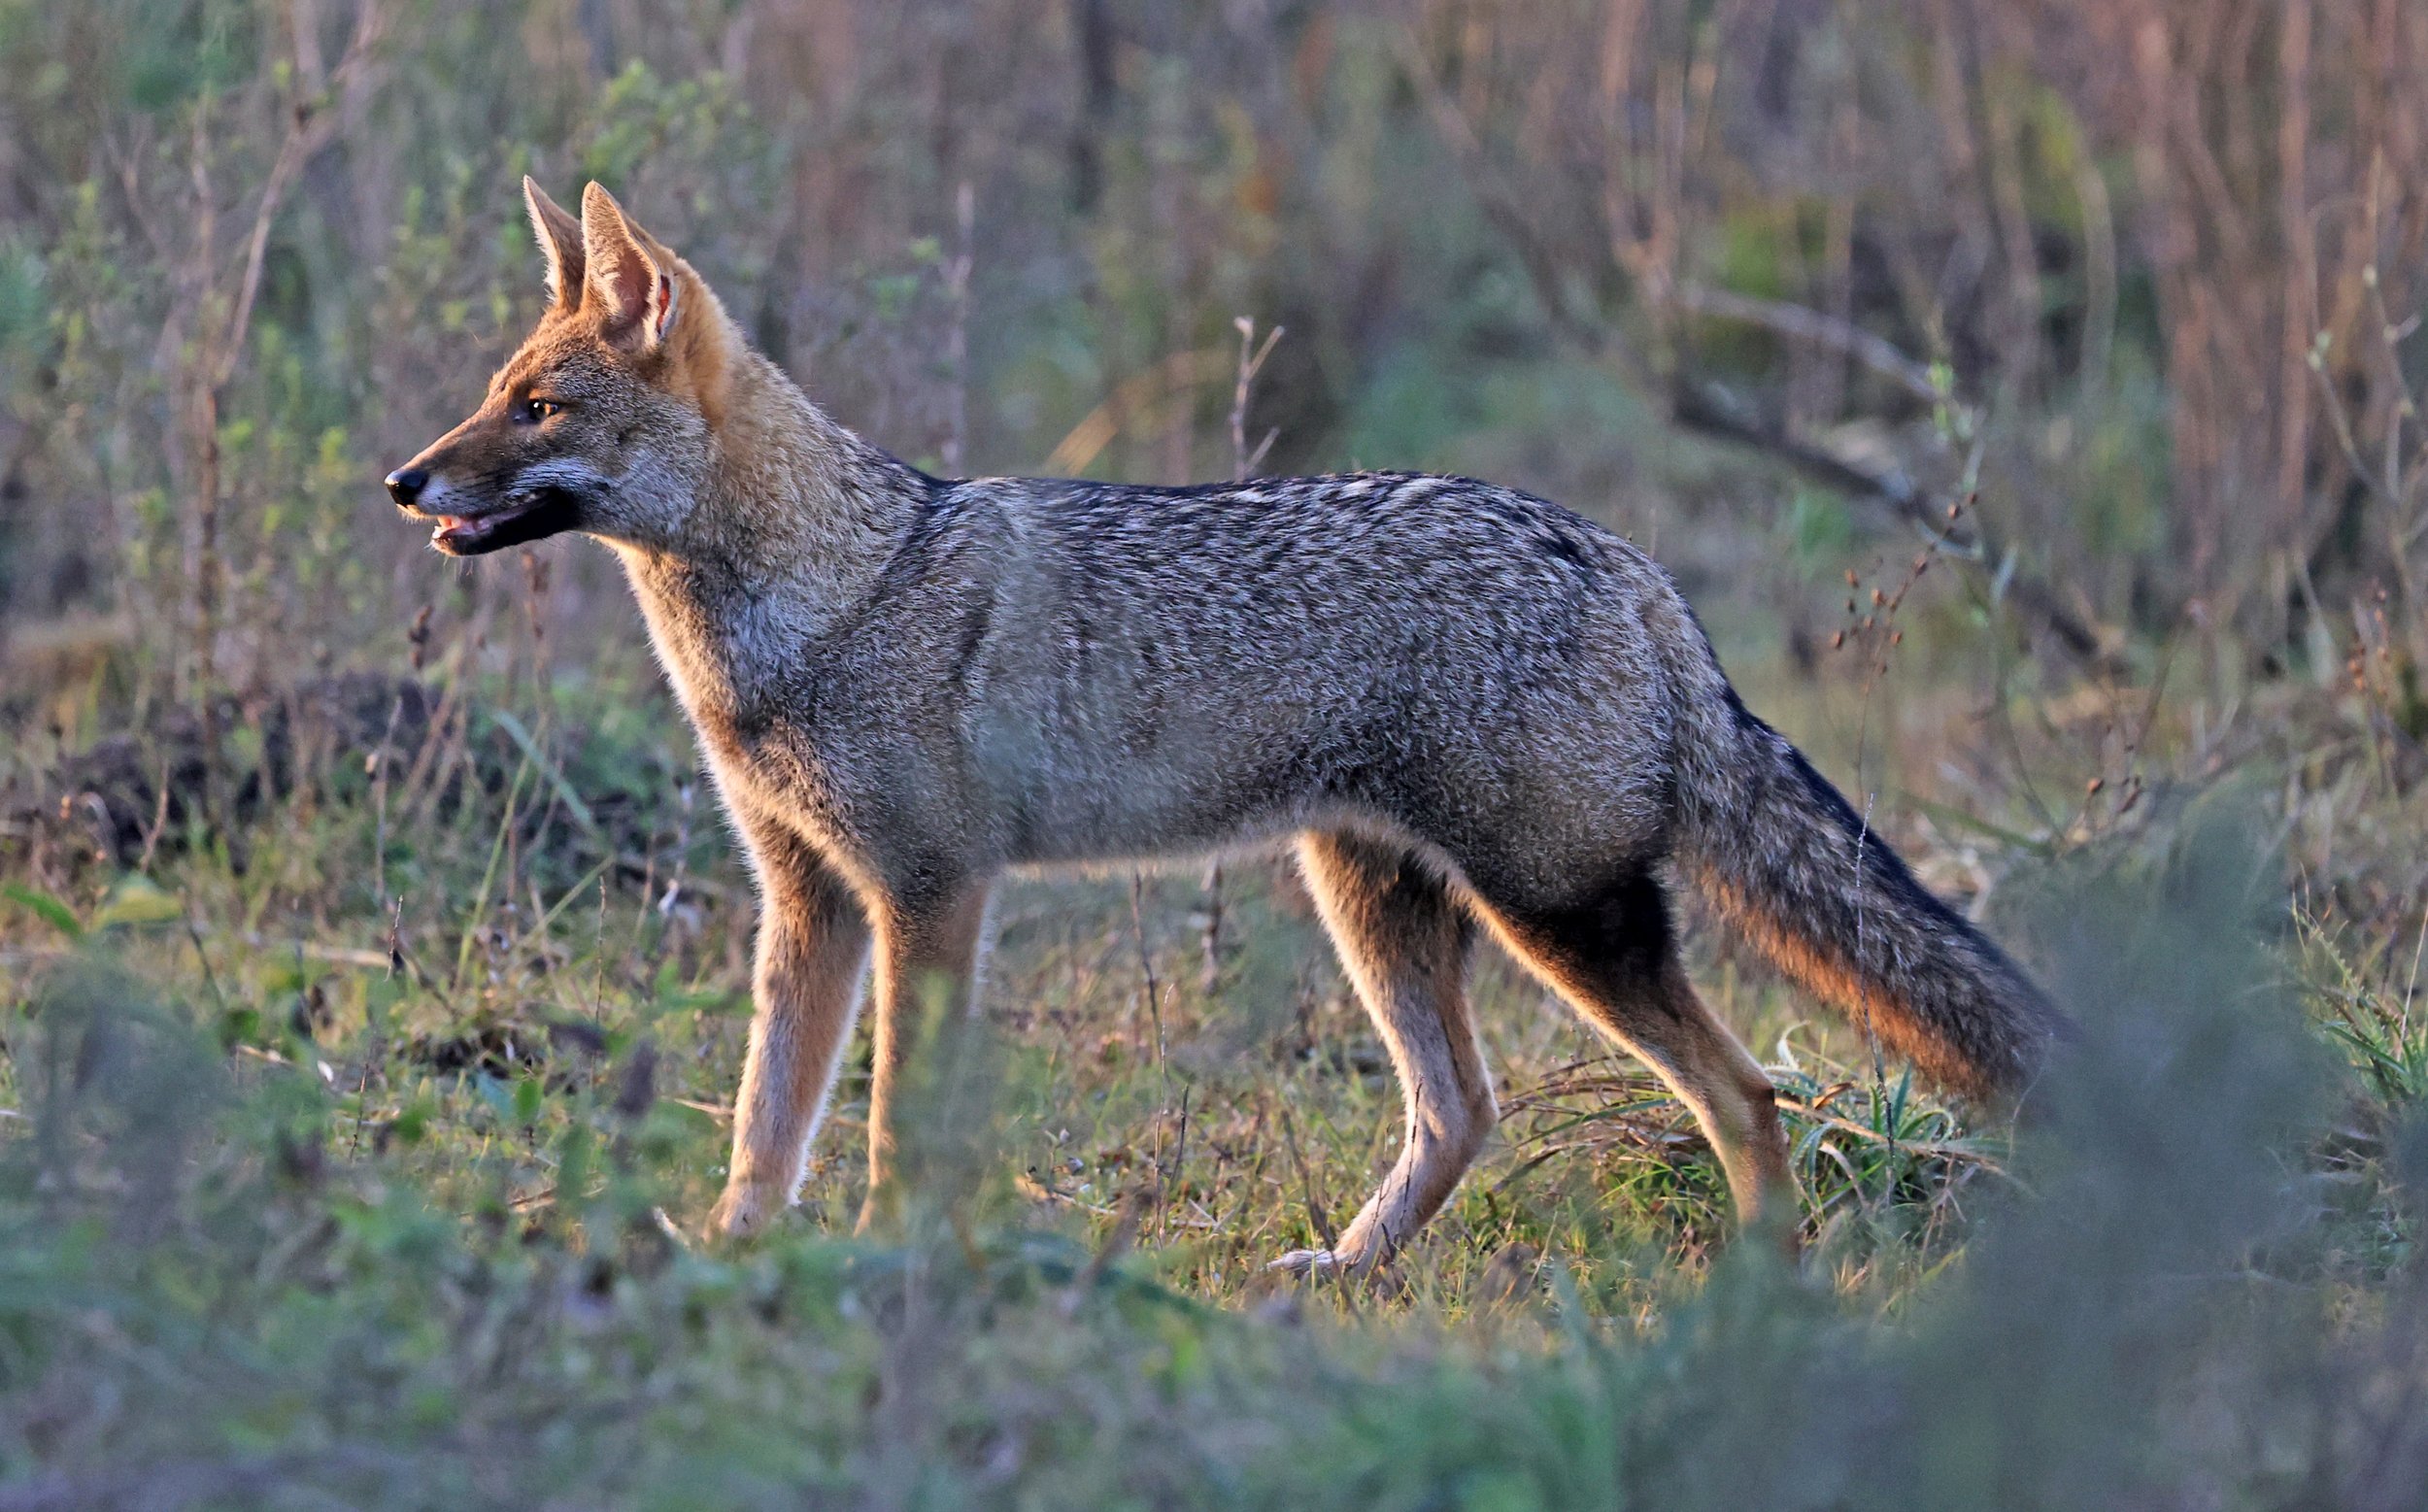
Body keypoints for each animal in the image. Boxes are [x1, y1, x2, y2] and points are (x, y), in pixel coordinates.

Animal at [387, 178, 2068, 1272]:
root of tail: (1628, 563)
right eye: (495, 393)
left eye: (536, 408)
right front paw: (743, 1259)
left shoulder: (929, 894)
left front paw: (880, 1264)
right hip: (1373, 899)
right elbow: (762, 1119)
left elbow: (887, 1123)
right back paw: (1341, 1277)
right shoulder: (807, 901)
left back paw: (1760, 1296)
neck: (827, 594)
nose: (404, 481)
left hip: (1558, 916)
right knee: (1463, 1110)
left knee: (1743, 1096)